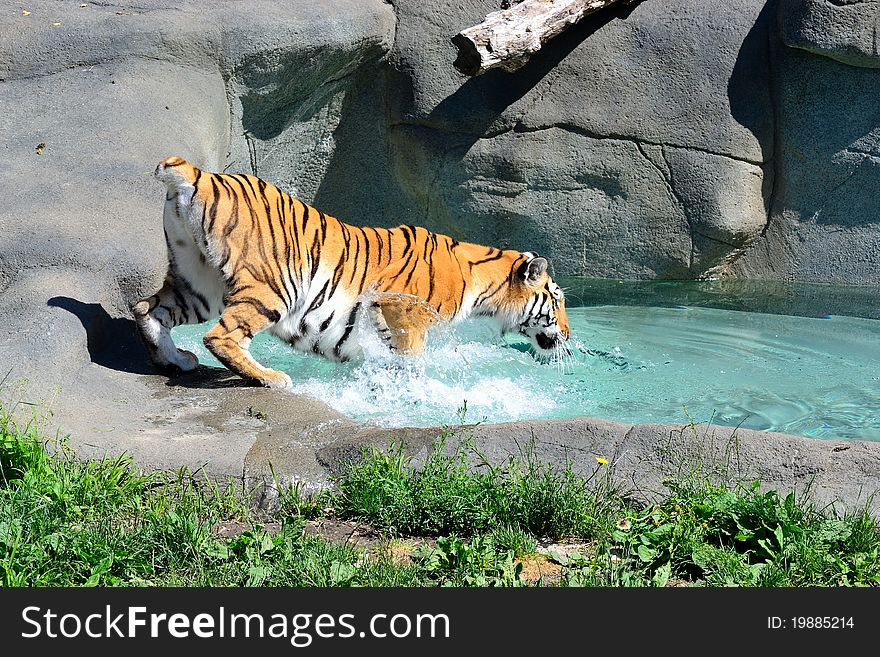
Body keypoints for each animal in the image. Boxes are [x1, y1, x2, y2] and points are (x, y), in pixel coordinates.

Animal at [131, 156, 572, 386]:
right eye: (557, 300)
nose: (569, 335)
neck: (482, 287)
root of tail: (200, 173)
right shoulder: (403, 309)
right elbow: (412, 357)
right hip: (273, 286)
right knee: (219, 336)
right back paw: (270, 377)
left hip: (198, 282)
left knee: (147, 308)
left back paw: (174, 360)